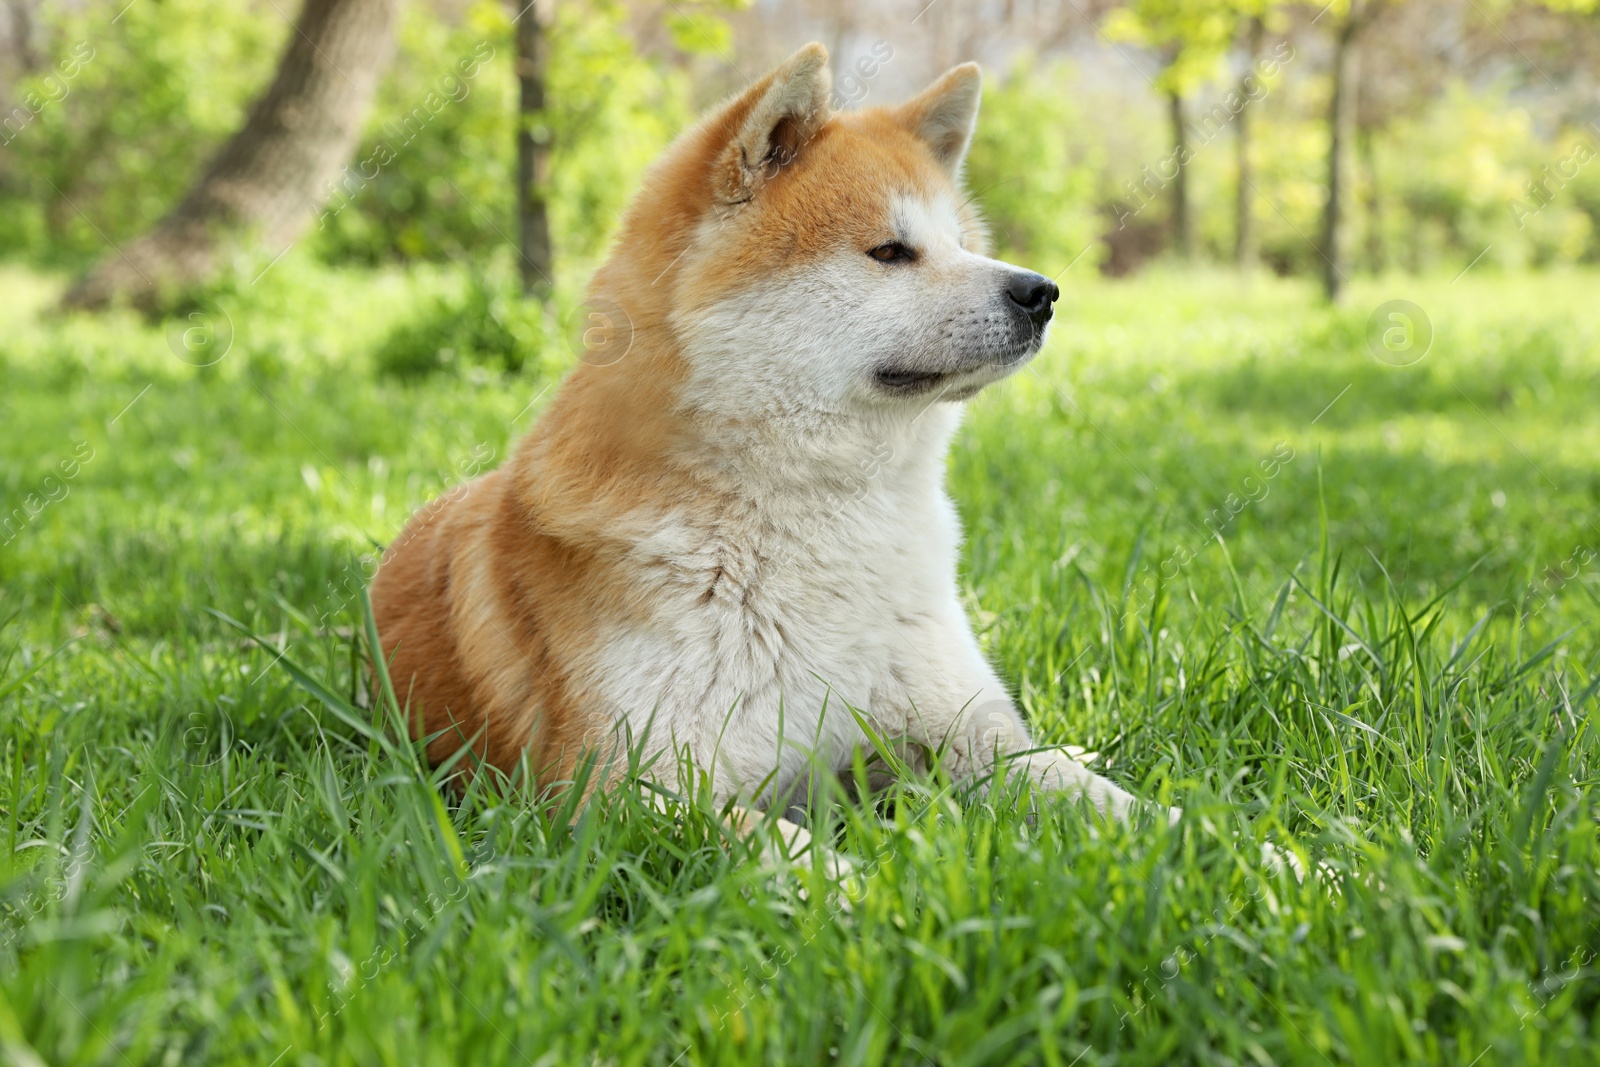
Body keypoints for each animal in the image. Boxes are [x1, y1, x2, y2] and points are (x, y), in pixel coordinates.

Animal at [376, 41, 1177, 863]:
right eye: (890, 251)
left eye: (962, 246)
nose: (1041, 291)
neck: (818, 520)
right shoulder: (619, 791)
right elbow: (808, 858)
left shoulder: (976, 736)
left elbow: (1115, 803)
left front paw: (1210, 848)